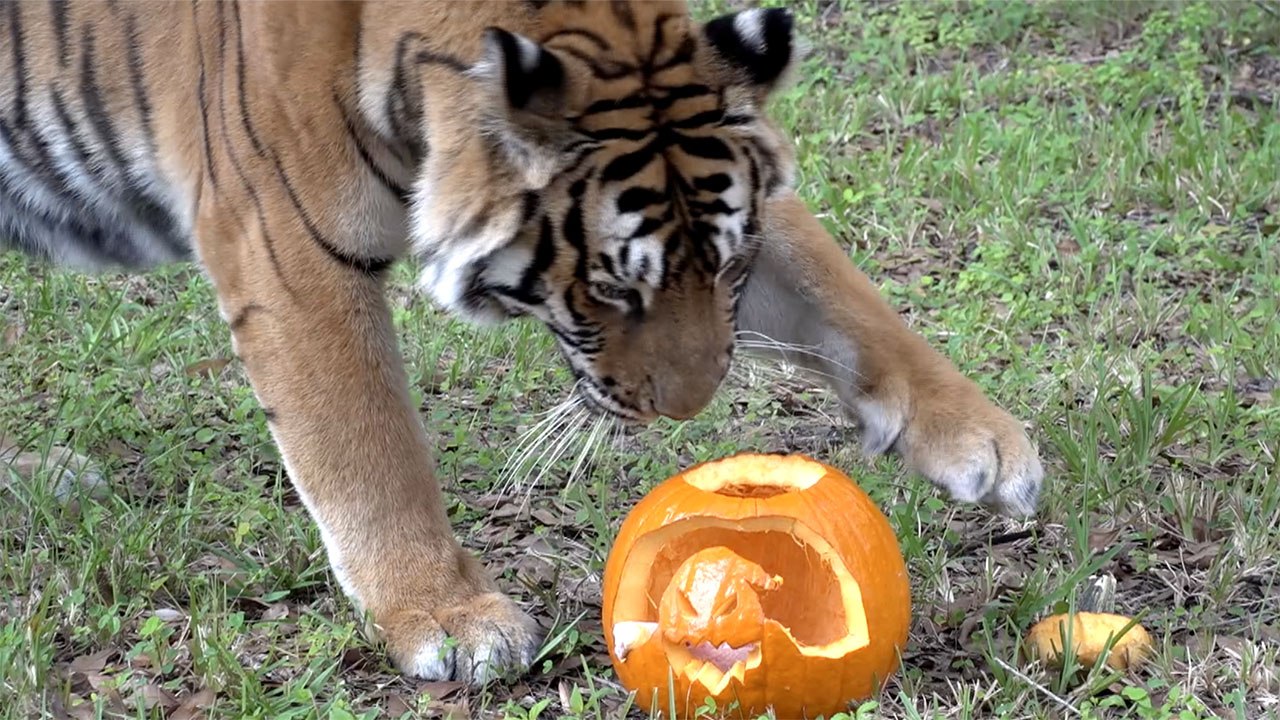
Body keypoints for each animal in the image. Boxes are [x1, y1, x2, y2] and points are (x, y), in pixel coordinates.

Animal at [0, 1, 1044, 685]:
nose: (691, 410)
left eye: (727, 264)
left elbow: (842, 292)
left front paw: (988, 445)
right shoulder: (285, 242)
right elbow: (363, 443)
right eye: (615, 286)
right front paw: (447, 618)